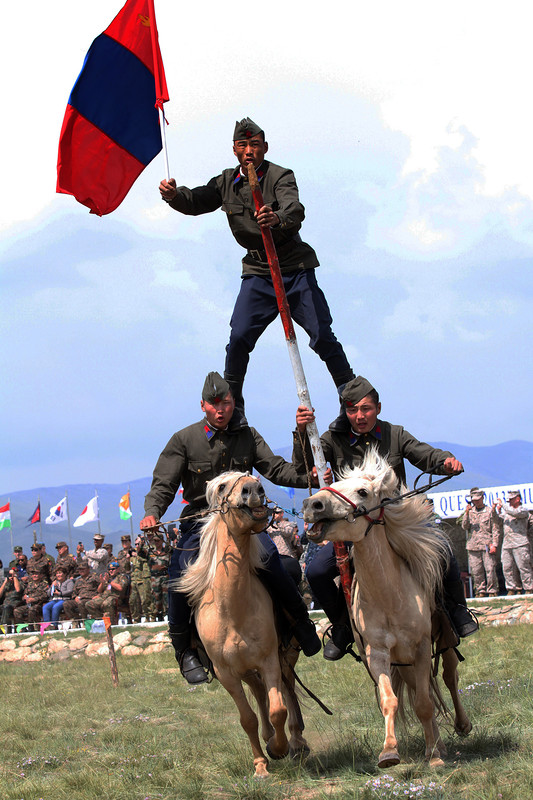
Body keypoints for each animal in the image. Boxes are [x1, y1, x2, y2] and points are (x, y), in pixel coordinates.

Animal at [177, 472, 308, 780]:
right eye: (223, 486)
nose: (253, 489)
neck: (232, 610)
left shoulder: (269, 660)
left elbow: (278, 709)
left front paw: (279, 747)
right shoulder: (227, 673)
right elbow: (247, 718)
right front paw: (261, 764)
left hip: (286, 656)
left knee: (287, 692)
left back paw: (296, 741)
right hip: (245, 669)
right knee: (259, 692)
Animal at [302, 450, 472, 768]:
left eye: (362, 491)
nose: (312, 505)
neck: (390, 596)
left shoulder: (420, 648)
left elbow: (425, 702)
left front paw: (433, 757)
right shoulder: (378, 653)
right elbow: (391, 700)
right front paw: (390, 751)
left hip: (445, 639)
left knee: (448, 676)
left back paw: (461, 726)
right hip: (403, 662)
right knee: (421, 689)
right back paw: (439, 744)